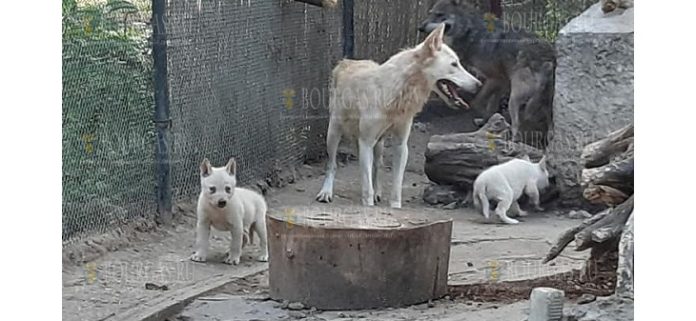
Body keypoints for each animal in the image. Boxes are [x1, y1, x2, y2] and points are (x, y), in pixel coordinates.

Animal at [318, 23, 482, 208]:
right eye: (454, 64)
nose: (479, 84)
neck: (398, 95)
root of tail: (347, 61)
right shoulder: (365, 142)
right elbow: (366, 187)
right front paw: (368, 205)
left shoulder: (400, 145)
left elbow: (396, 185)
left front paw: (394, 207)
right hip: (334, 134)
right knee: (332, 165)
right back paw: (326, 192)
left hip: (379, 144)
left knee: (378, 166)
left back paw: (378, 192)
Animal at [418, 0, 556, 148]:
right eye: (430, 13)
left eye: (439, 15)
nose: (420, 27)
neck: (471, 30)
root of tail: (549, 60)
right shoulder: (502, 81)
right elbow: (492, 106)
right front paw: (490, 122)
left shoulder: (495, 79)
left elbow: (477, 103)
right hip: (545, 101)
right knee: (550, 122)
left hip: (514, 100)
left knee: (517, 129)